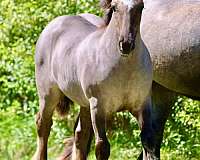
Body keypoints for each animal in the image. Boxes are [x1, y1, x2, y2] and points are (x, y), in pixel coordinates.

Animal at [33, 0, 155, 159]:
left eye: (140, 7)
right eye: (115, 7)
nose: (126, 44)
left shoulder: (142, 104)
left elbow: (148, 141)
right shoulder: (98, 107)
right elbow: (102, 147)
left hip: (84, 104)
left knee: (80, 134)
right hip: (48, 95)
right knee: (43, 125)